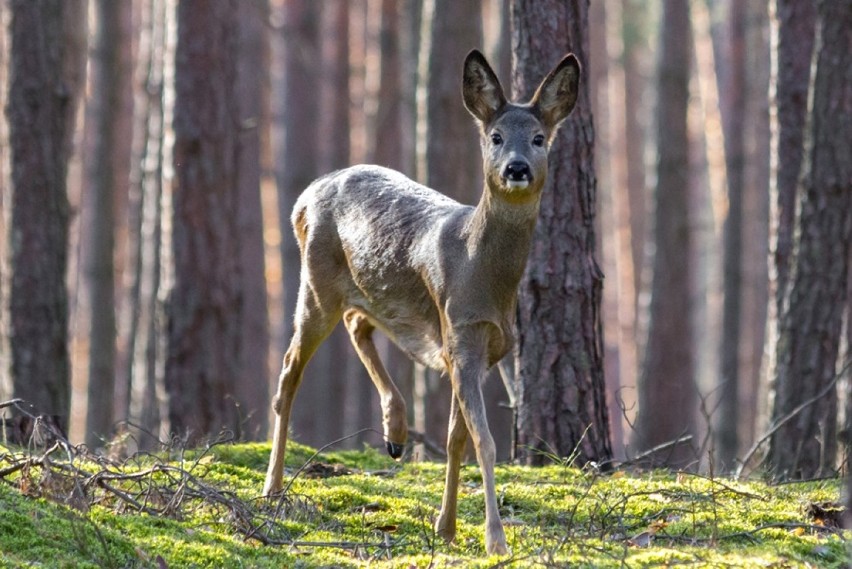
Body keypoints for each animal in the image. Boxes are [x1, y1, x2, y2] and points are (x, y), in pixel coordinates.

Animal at [262, 48, 584, 556]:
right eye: (495, 137)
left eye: (538, 138)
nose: (516, 168)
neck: (480, 273)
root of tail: (303, 198)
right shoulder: (460, 334)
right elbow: (484, 441)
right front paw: (496, 540)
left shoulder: (480, 350)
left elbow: (456, 439)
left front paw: (446, 527)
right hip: (315, 281)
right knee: (290, 370)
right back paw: (273, 486)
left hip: (368, 290)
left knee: (359, 324)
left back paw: (394, 431)